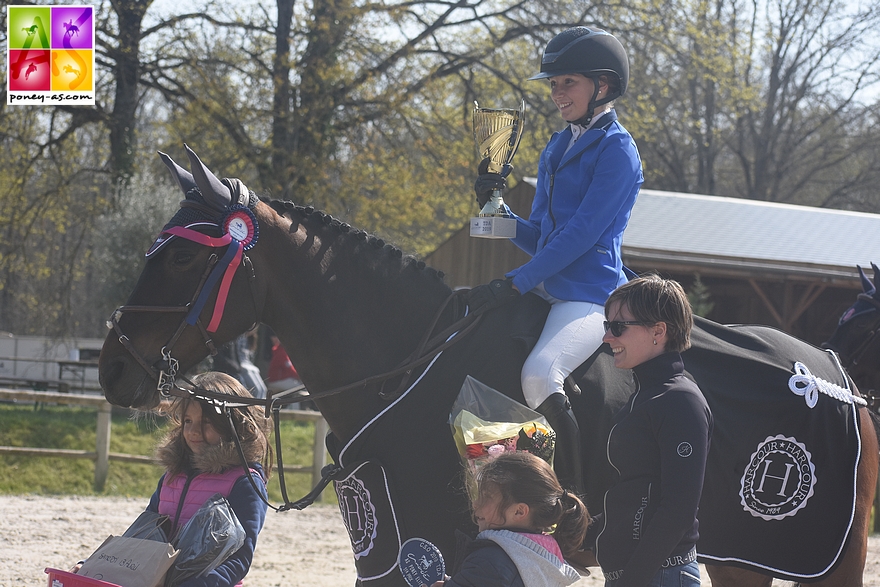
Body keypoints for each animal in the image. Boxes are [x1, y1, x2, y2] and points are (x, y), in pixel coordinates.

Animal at [99, 149, 876, 587]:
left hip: (812, 560)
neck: (402, 362)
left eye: (184, 256)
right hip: (739, 558)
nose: (113, 371)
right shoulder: (388, 548)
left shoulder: (430, 544)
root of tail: (833, 375)